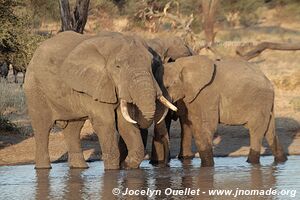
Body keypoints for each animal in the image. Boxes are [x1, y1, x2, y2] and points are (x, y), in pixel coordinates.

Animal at [25, 31, 178, 170]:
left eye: (152, 65)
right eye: (118, 67)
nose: (124, 164)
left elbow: (125, 124)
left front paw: (127, 166)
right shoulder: (95, 85)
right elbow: (106, 123)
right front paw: (113, 170)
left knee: (73, 128)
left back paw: (80, 168)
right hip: (35, 88)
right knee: (42, 126)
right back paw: (43, 168)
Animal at [154, 55, 288, 166]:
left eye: (167, 87)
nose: (165, 164)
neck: (180, 65)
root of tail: (268, 81)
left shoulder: (208, 93)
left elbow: (206, 125)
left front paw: (208, 167)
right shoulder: (192, 96)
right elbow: (194, 123)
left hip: (259, 100)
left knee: (256, 130)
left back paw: (252, 163)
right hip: (265, 103)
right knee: (269, 131)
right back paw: (281, 161)